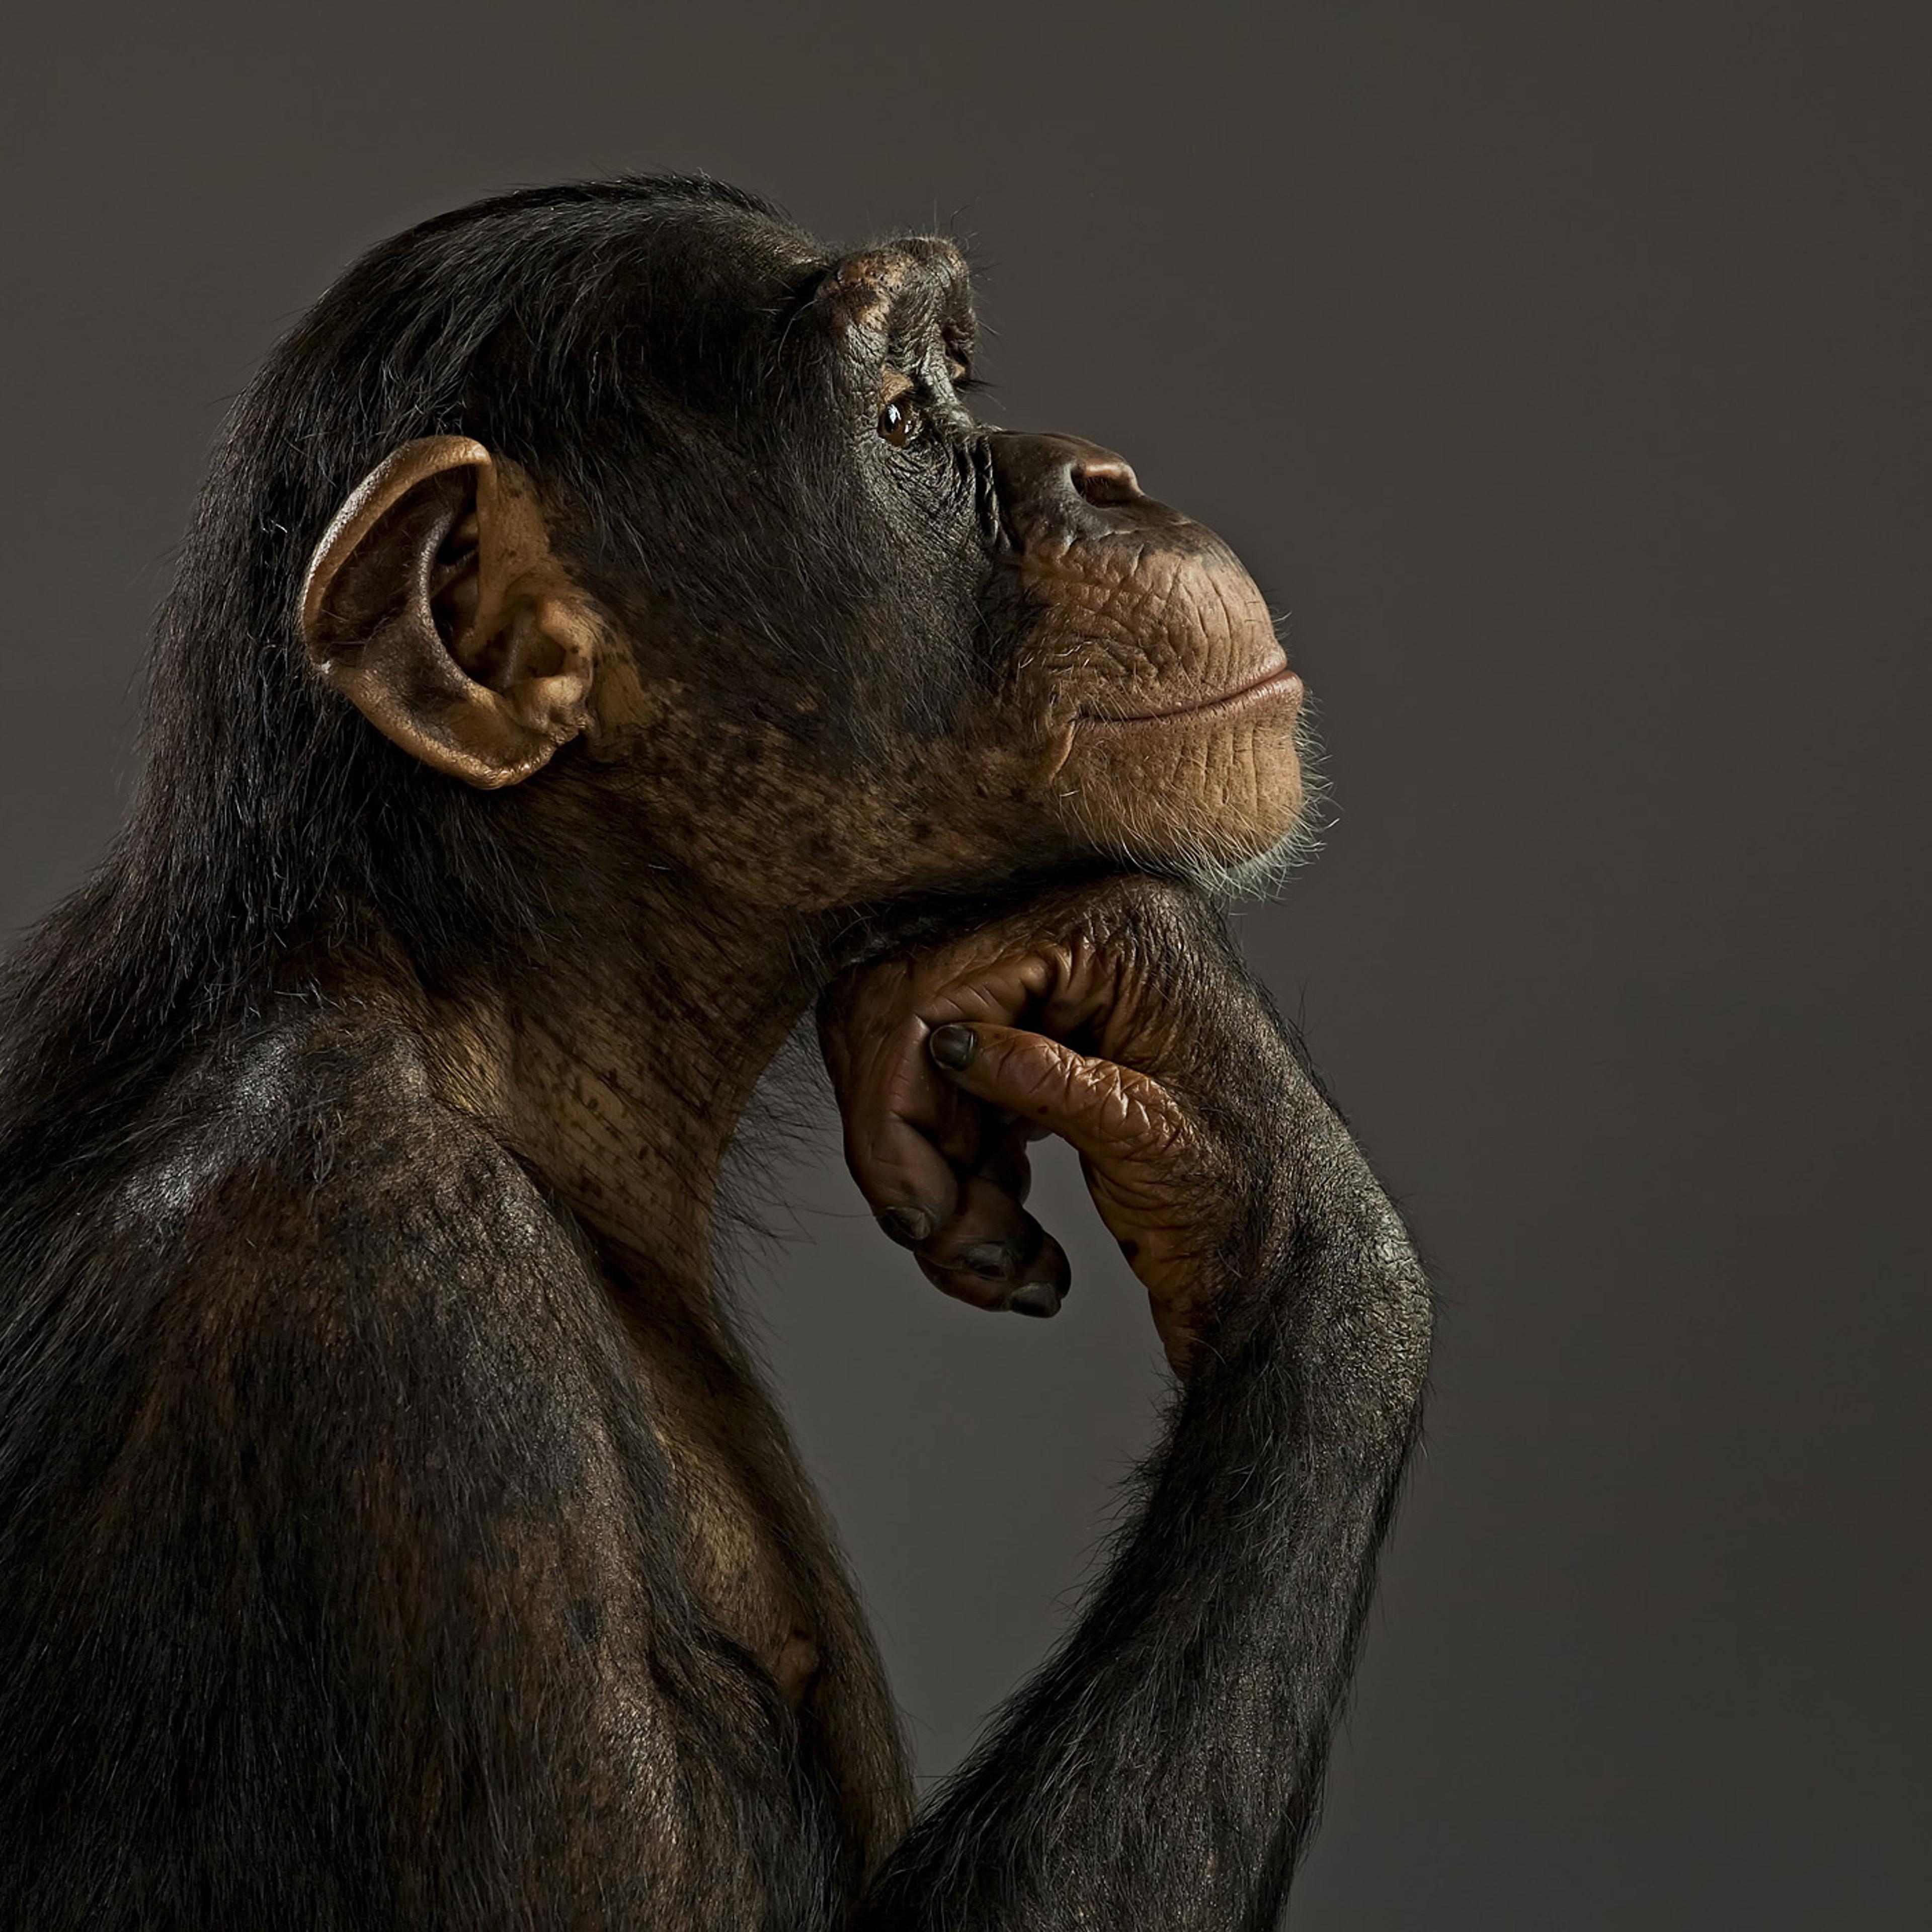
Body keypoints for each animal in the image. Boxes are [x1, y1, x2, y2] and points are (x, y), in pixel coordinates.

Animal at [0, 174, 1429, 1928]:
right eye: (901, 417)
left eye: (957, 379)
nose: (1105, 475)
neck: (491, 1018)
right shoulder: (378, 1311)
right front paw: (1259, 1150)